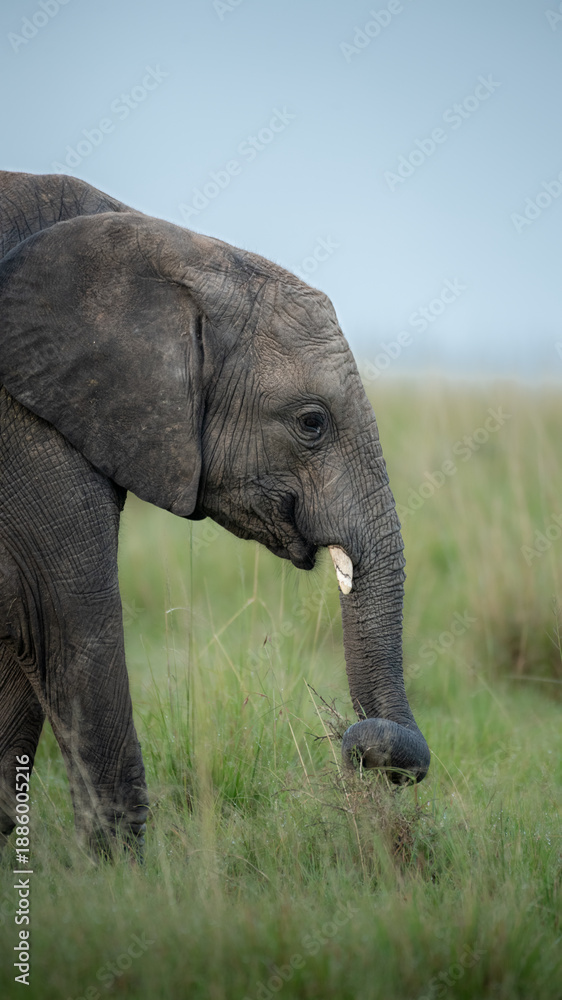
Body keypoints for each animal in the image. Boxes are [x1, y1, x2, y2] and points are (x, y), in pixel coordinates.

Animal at [0, 170, 430, 853]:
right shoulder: (27, 420)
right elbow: (62, 614)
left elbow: (25, 631)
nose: (354, 744)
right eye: (312, 423)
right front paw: (122, 873)